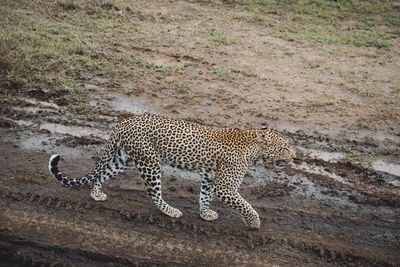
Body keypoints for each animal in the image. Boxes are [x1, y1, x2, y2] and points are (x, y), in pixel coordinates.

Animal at [48, 114, 296, 229]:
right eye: (284, 147)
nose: (294, 156)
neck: (253, 150)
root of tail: (125, 122)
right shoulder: (225, 186)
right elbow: (244, 204)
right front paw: (254, 223)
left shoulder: (209, 178)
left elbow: (205, 197)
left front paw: (204, 213)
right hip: (150, 162)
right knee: (153, 193)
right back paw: (171, 211)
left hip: (123, 159)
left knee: (101, 174)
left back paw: (96, 194)